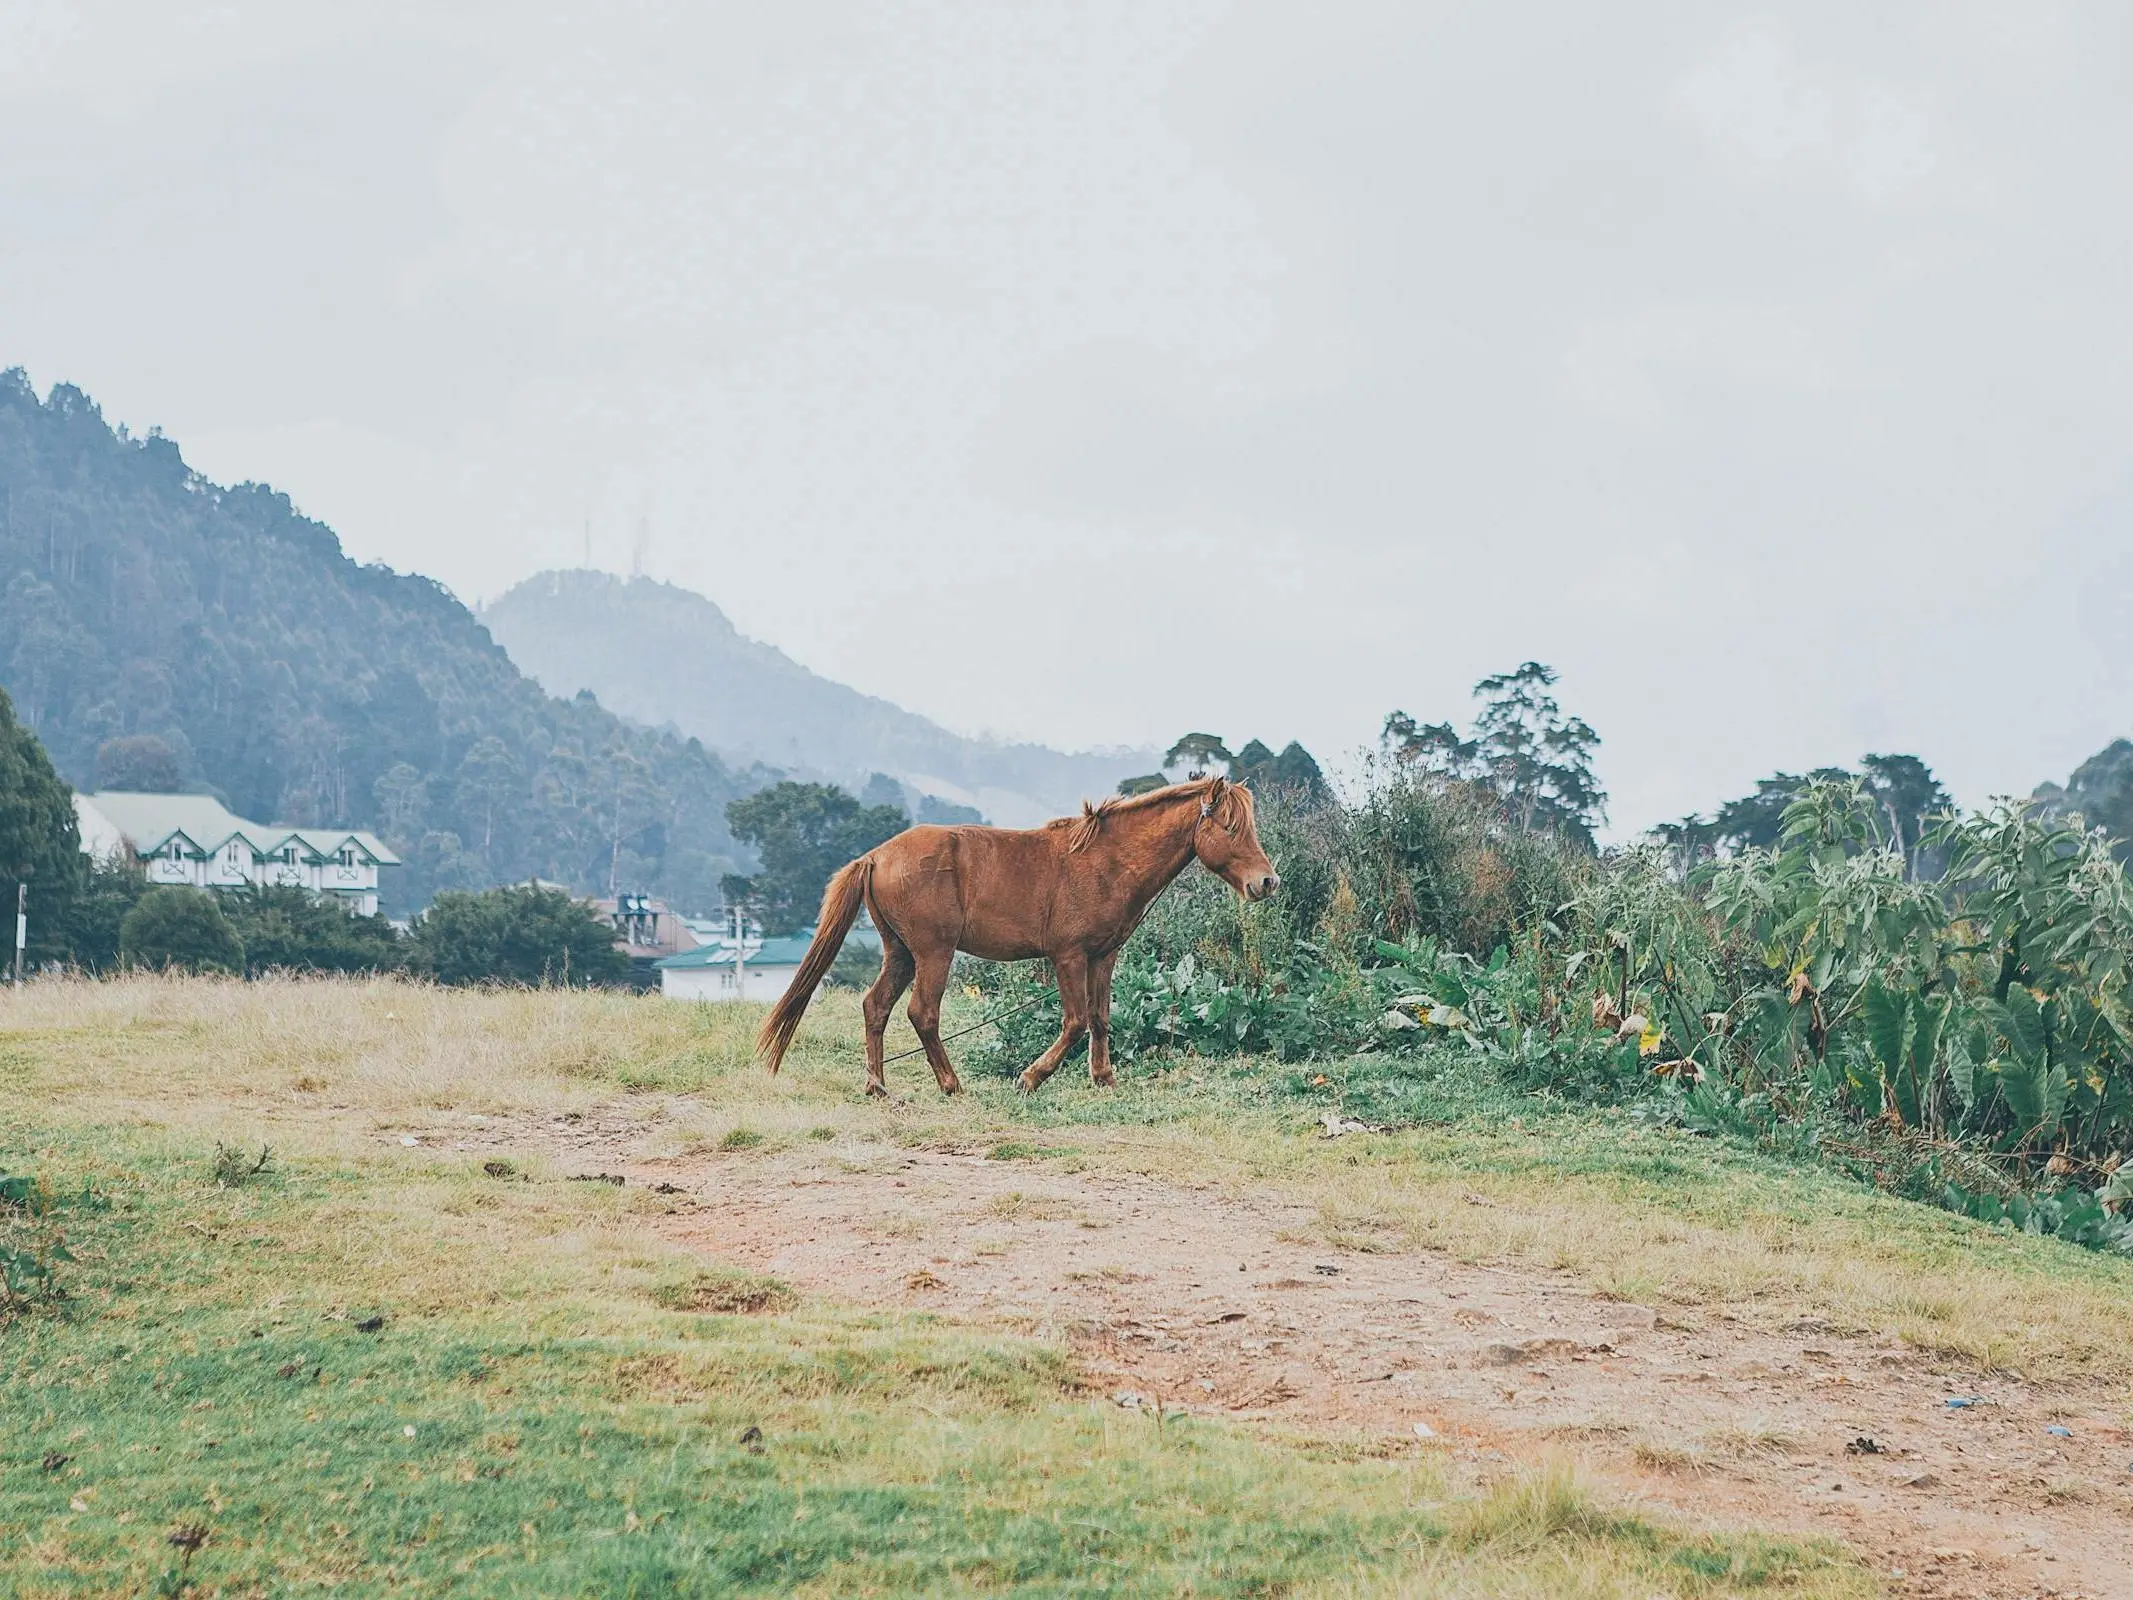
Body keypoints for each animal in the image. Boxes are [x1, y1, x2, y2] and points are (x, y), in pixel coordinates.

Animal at [759, 780, 1271, 1100]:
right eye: (1231, 827)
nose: (1268, 882)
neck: (1106, 860)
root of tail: (876, 856)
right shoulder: (1069, 957)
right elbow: (1075, 1021)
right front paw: (1030, 1078)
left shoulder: (1103, 957)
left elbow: (1101, 1019)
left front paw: (1104, 1079)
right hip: (933, 953)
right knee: (921, 1013)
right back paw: (950, 1084)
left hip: (900, 953)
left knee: (875, 1006)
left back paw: (878, 1087)